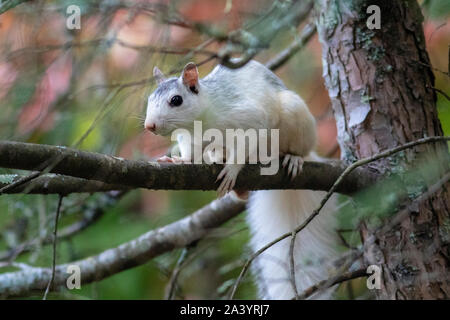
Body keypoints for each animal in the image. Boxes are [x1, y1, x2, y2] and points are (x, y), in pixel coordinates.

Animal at [146, 60, 340, 300]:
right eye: (149, 99)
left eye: (176, 100)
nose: (149, 126)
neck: (199, 123)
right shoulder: (190, 140)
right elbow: (191, 155)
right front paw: (180, 160)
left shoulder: (248, 119)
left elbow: (247, 142)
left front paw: (232, 169)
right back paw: (234, 180)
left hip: (295, 117)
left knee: (299, 149)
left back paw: (293, 158)